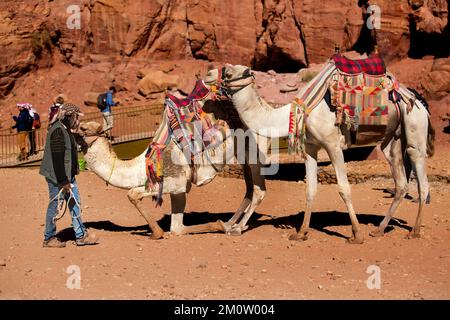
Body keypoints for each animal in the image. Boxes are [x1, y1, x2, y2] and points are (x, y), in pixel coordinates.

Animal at [75, 81, 266, 239]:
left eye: (82, 128)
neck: (142, 167)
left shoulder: (176, 181)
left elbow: (133, 193)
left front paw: (156, 233)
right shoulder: (179, 190)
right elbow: (177, 228)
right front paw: (220, 224)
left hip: (255, 151)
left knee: (258, 191)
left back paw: (237, 228)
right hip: (243, 157)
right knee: (249, 189)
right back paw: (231, 222)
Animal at [220, 63, 434, 242]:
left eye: (228, 73)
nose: (220, 70)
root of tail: (419, 101)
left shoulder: (333, 145)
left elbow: (344, 188)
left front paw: (356, 234)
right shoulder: (310, 148)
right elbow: (310, 189)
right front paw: (301, 233)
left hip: (415, 125)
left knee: (421, 180)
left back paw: (415, 231)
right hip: (392, 139)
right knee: (401, 183)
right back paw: (379, 229)